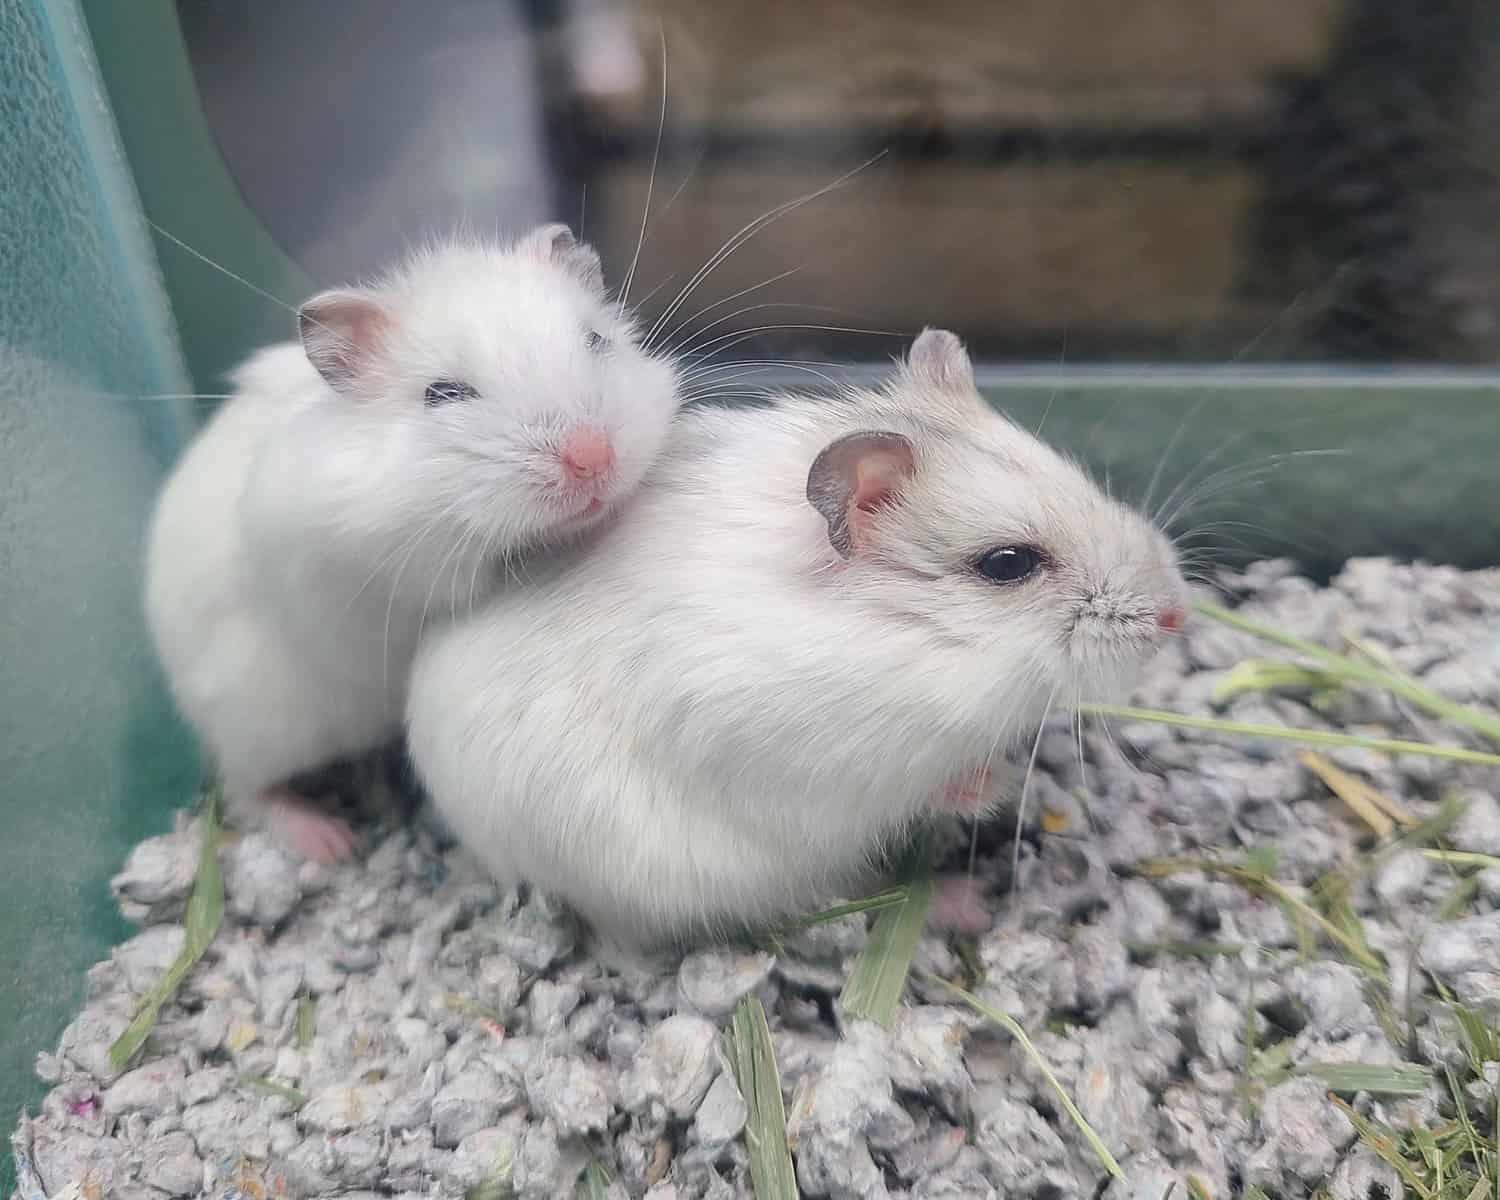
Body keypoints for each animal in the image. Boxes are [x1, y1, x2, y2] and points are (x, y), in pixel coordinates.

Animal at [144, 225, 679, 862]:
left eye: (596, 340)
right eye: (442, 393)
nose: (593, 460)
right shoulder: (387, 569)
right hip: (263, 723)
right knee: (245, 787)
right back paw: (330, 842)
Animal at [405, 327, 1187, 952]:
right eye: (1007, 564)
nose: (1178, 616)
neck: (901, 638)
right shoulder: (816, 758)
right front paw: (992, 787)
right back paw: (959, 905)